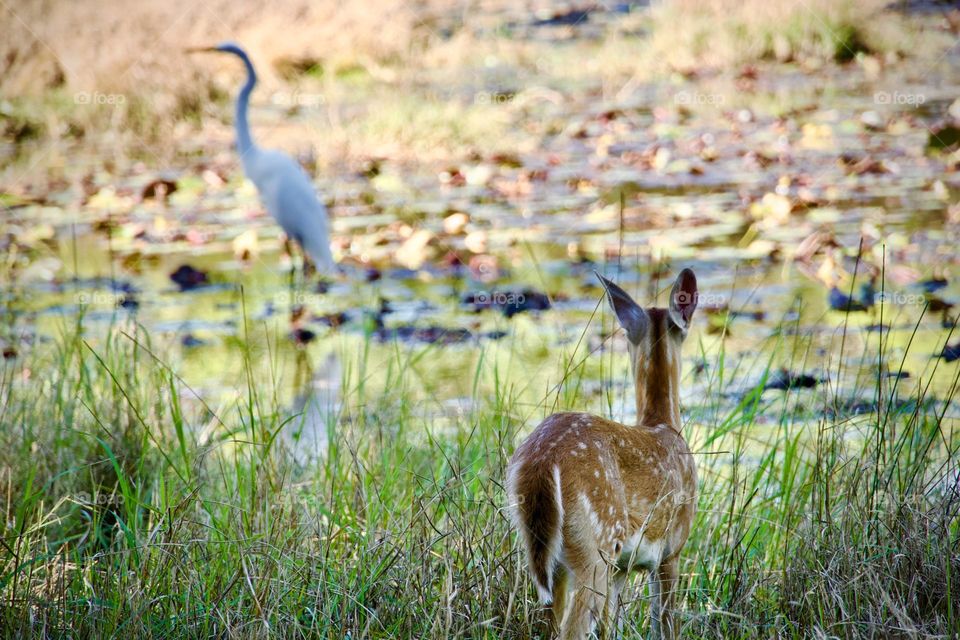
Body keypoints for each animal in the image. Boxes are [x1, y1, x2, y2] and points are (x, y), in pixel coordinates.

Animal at [507, 269, 699, 640]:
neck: (664, 424)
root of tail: (542, 460)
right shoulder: (673, 547)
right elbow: (664, 624)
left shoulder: (623, 567)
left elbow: (613, 625)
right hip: (595, 542)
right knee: (573, 627)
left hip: (545, 550)